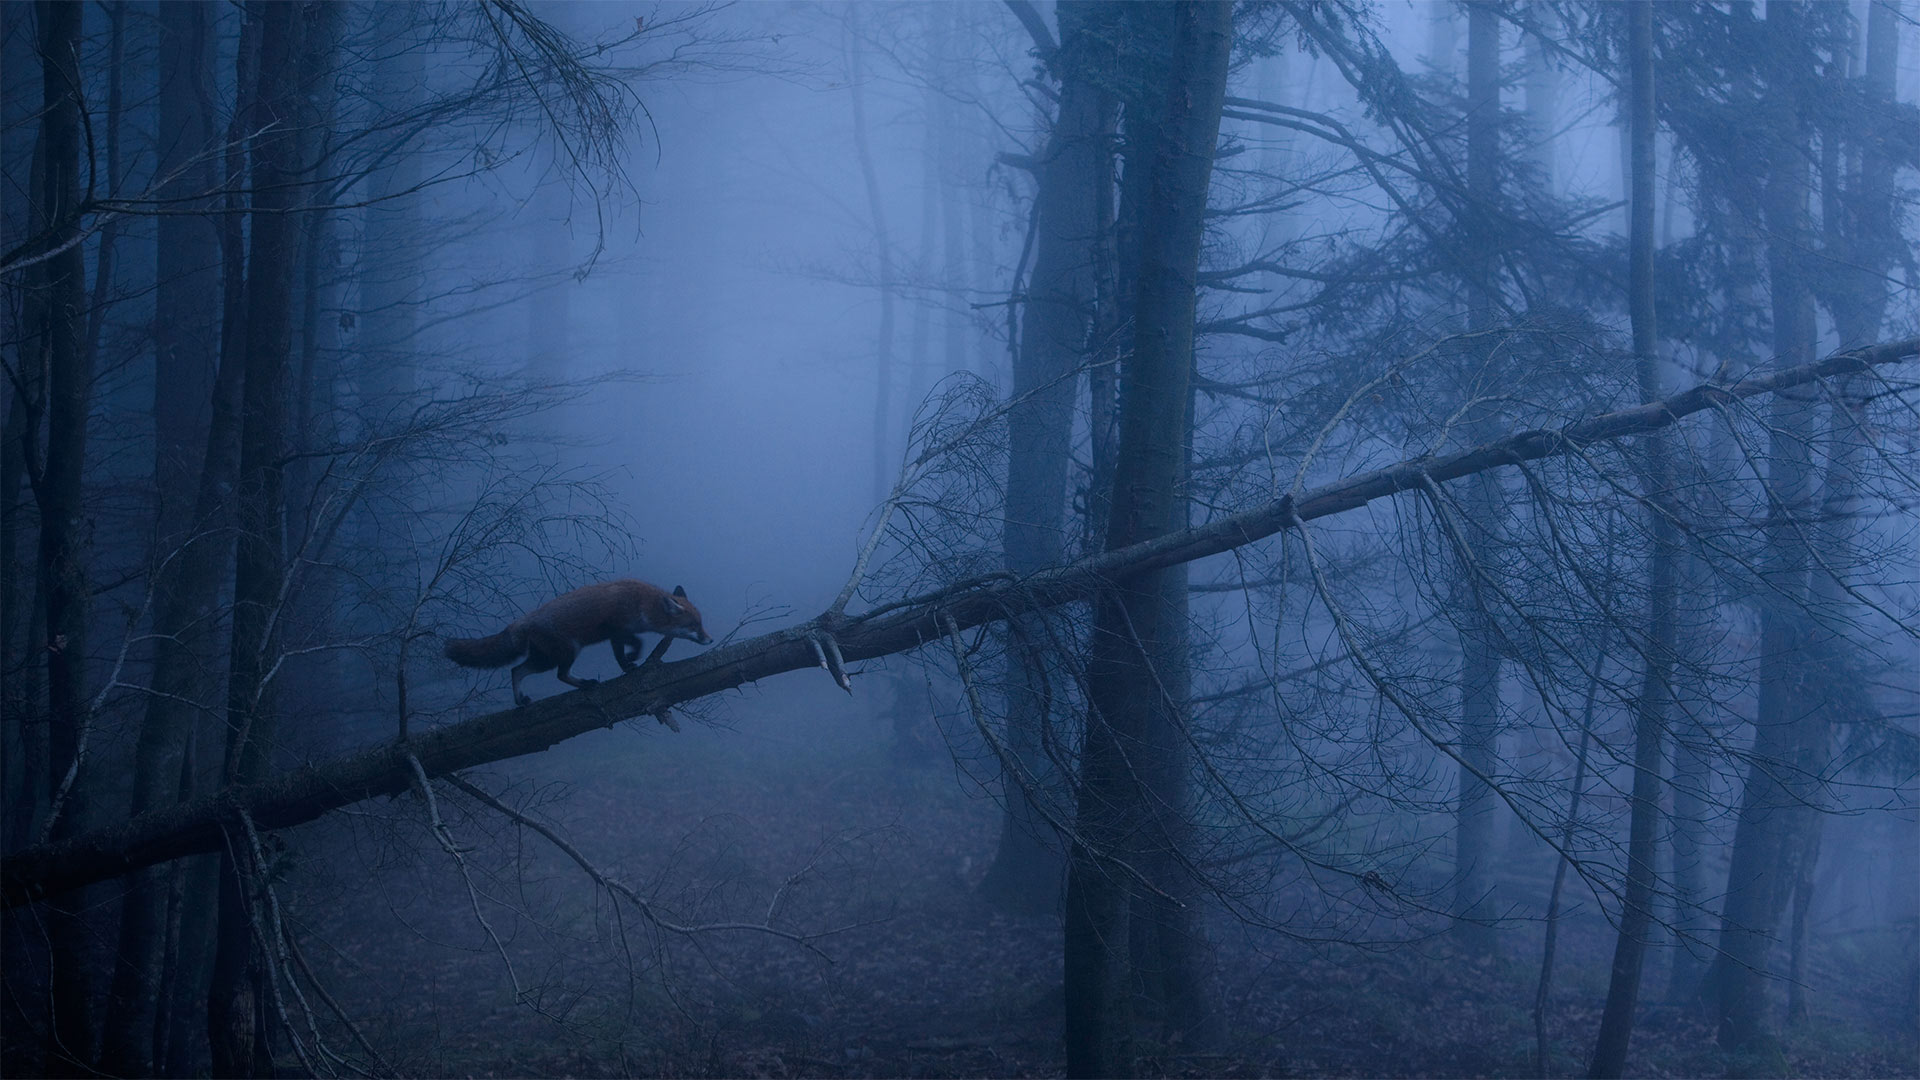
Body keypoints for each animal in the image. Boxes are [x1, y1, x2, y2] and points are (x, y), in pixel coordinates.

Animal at [439, 580, 714, 707]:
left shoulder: (616, 636)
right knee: (555, 674)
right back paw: (585, 684)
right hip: (565, 653)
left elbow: (621, 655)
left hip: (546, 657)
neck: (641, 603)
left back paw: (521, 701)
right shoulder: (616, 629)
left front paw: (627, 666)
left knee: (516, 670)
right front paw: (633, 659)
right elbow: (636, 644)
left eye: (701, 624)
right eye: (694, 626)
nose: (710, 639)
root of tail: (523, 620)